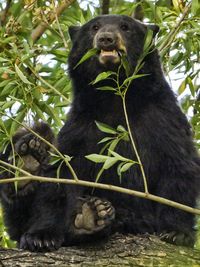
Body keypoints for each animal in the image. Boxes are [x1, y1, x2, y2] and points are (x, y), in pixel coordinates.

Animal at [0, 14, 200, 252]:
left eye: (125, 27)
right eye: (94, 27)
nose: (106, 38)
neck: (115, 99)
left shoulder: (164, 117)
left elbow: (178, 168)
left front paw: (177, 232)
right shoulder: (80, 126)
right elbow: (58, 177)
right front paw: (41, 236)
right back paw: (28, 161)